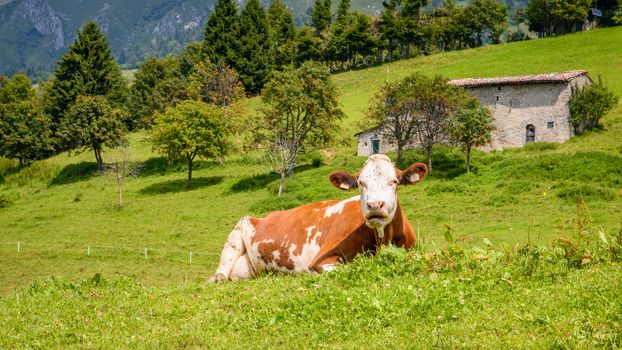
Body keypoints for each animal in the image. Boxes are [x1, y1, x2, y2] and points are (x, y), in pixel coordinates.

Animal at [210, 154, 428, 282]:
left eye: (394, 181)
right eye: (360, 182)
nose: (375, 205)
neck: (383, 241)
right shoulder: (320, 260)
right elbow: (347, 267)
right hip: (239, 228)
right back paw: (217, 277)